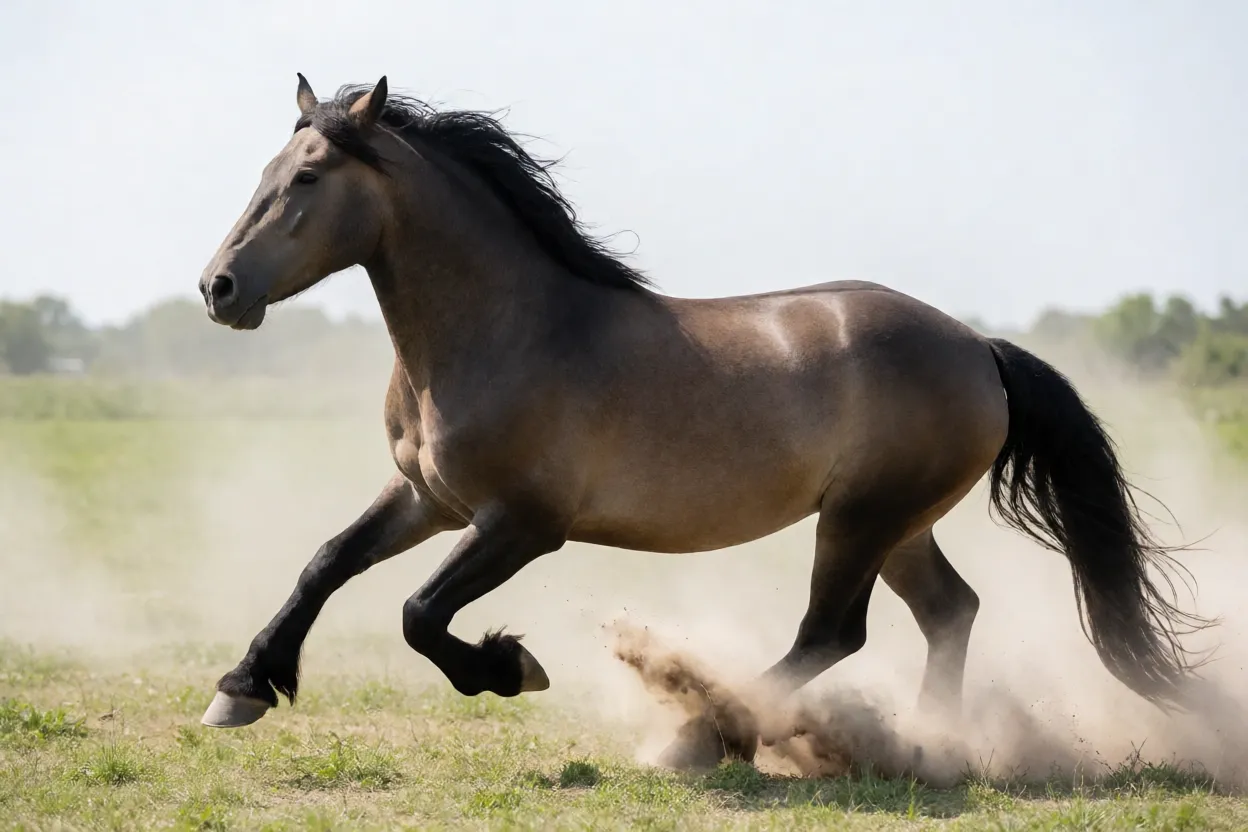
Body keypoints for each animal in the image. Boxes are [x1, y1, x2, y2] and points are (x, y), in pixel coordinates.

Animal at [195, 74, 1210, 768]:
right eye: (266, 170)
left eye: (308, 179)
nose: (219, 288)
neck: (504, 330)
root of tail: (979, 349)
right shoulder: (426, 498)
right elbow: (327, 562)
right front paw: (242, 687)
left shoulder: (522, 525)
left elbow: (418, 613)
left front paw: (510, 667)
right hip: (899, 525)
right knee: (948, 612)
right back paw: (929, 746)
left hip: (861, 519)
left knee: (834, 634)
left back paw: (705, 735)